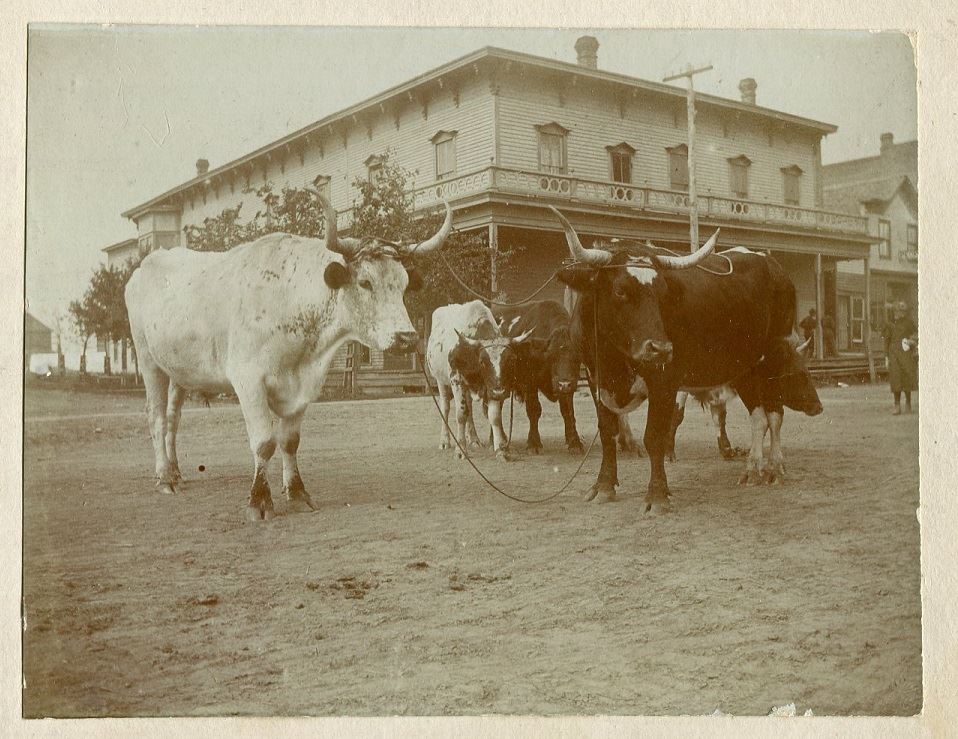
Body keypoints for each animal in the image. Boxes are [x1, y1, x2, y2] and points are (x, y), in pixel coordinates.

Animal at [125, 194, 452, 521]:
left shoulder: (303, 386)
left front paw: (296, 491)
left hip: (178, 370)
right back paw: (164, 478)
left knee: (172, 418)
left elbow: (289, 441)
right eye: (365, 282)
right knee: (156, 417)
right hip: (148, 360)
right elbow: (264, 443)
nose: (407, 337)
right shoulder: (248, 381)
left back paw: (175, 471)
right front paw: (259, 500)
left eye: (404, 284)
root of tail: (149, 263)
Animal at [426, 300, 532, 460]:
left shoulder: (491, 386)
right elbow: (461, 414)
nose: (500, 392)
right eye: (482, 361)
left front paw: (501, 450)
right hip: (441, 381)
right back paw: (445, 441)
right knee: (445, 407)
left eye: (510, 360)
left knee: (469, 408)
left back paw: (474, 439)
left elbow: (494, 416)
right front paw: (460, 450)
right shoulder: (457, 380)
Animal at [494, 300, 584, 455]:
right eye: (551, 355)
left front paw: (574, 442)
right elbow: (534, 409)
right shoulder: (530, 383)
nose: (564, 384)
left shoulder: (569, 385)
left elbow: (568, 411)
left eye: (576, 356)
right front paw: (533, 443)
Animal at [551, 205, 822, 513]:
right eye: (620, 290)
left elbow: (655, 435)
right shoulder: (597, 378)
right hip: (745, 368)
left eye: (662, 293)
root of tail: (773, 266)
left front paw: (657, 495)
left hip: (774, 361)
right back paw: (753, 468)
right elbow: (608, 432)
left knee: (775, 415)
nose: (660, 349)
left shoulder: (665, 381)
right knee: (759, 417)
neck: (614, 356)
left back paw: (775, 467)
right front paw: (604, 486)